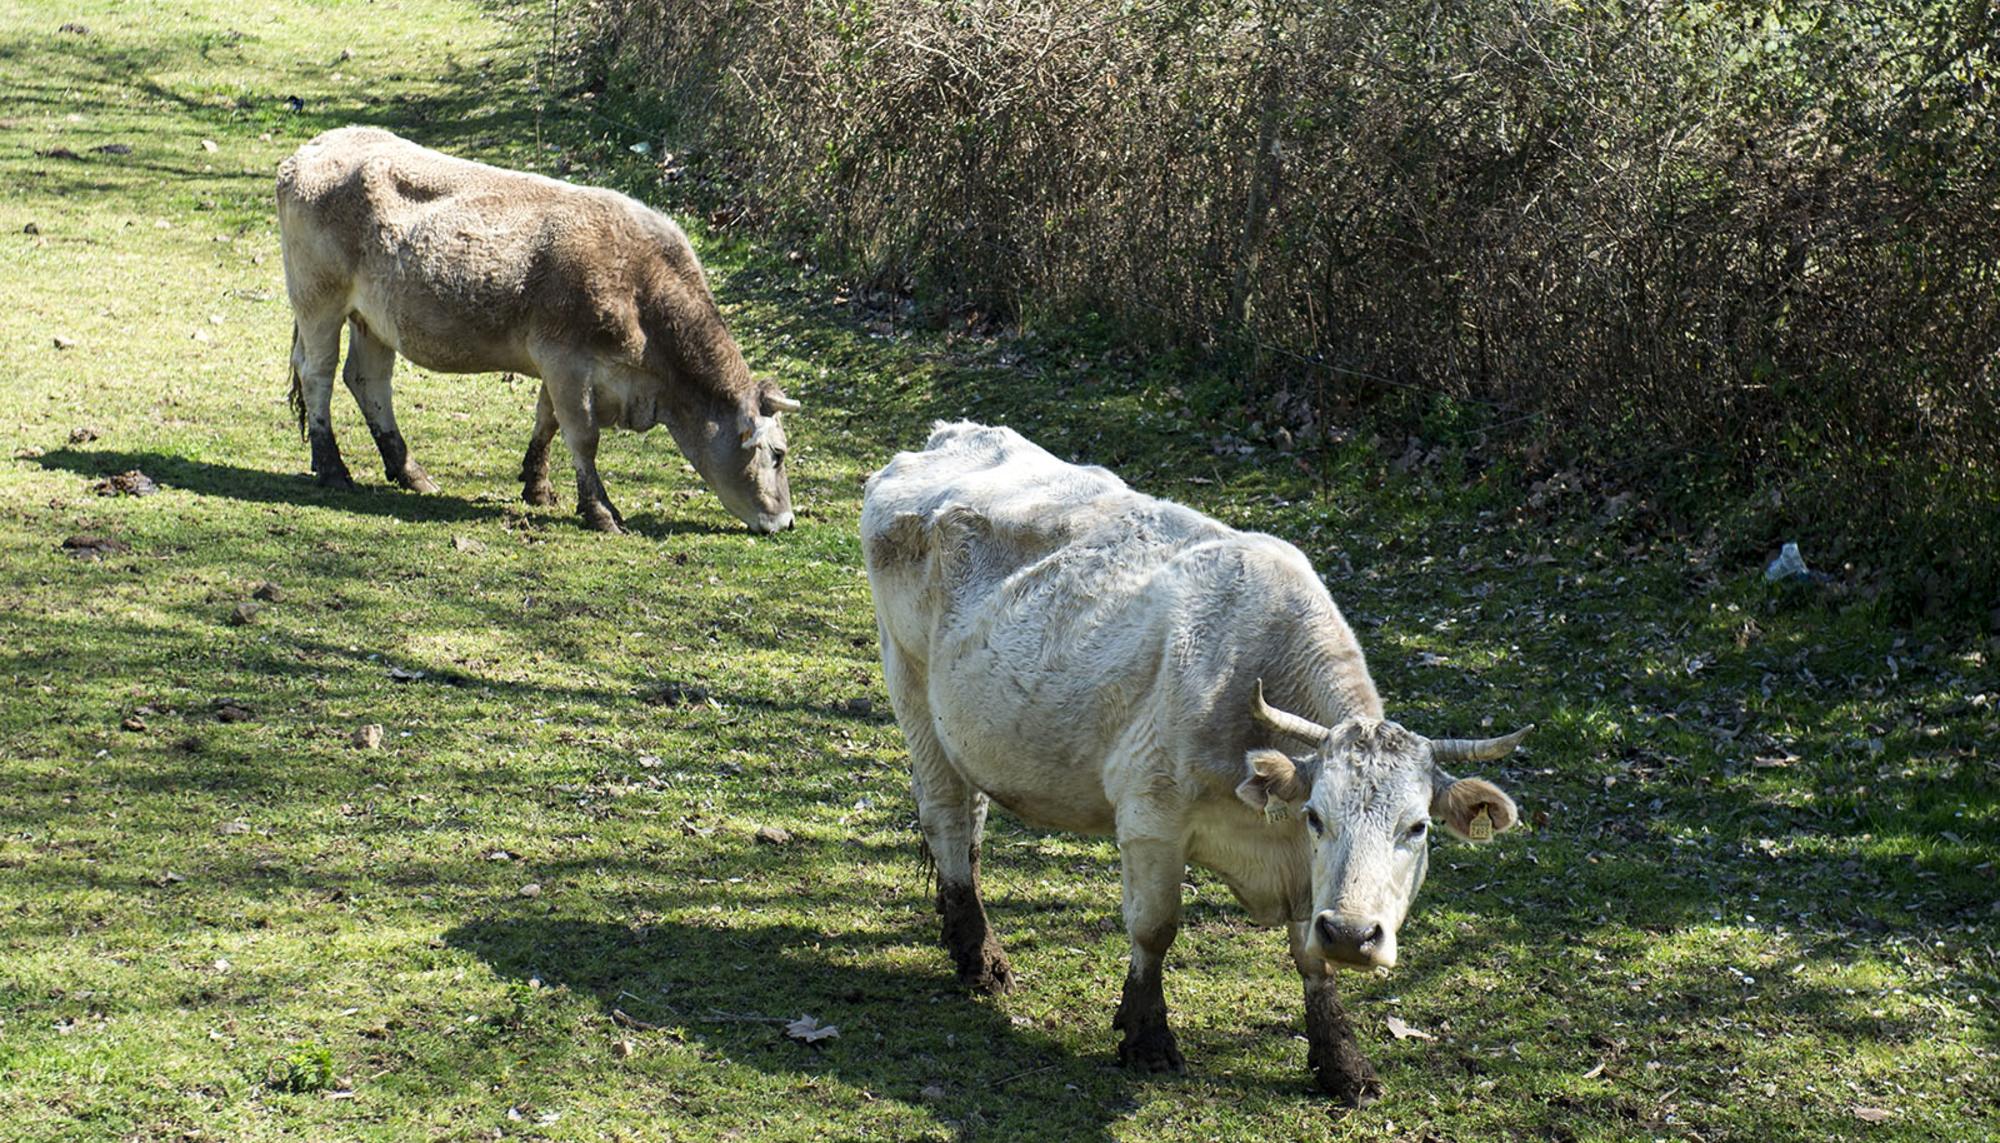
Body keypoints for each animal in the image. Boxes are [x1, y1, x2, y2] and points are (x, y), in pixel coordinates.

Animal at [860, 423, 1528, 1103]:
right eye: (1318, 817)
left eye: (1417, 827)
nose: (1352, 934)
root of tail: (954, 436)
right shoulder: (1151, 816)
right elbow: (1155, 928)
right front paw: (1147, 1038)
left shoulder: (1304, 874)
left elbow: (1310, 958)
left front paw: (1342, 1059)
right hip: (910, 686)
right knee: (945, 817)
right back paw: (980, 958)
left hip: (967, 728)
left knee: (970, 822)